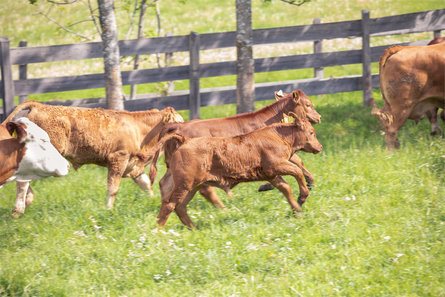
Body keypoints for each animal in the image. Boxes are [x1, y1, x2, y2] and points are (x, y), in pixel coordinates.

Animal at [4, 100, 181, 209]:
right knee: (23, 180)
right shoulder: (118, 159)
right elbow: (113, 188)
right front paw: (109, 209)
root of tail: (39, 105)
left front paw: (156, 201)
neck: (138, 130)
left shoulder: (134, 165)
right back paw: (20, 207)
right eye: (179, 122)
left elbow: (146, 185)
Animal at [149, 90, 320, 208]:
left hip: (173, 165)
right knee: (204, 189)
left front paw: (310, 181)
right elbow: (295, 163)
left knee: (165, 183)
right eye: (308, 104)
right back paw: (222, 207)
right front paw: (267, 186)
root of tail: (178, 126)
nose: (319, 117)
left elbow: (298, 162)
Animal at [154, 117, 320, 228]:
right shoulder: (277, 166)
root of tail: (184, 140)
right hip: (184, 184)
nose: (320, 147)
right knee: (170, 204)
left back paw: (194, 228)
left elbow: (286, 188)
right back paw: (158, 230)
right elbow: (297, 172)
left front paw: (297, 210)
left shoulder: (272, 175)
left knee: (180, 206)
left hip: (192, 186)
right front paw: (302, 196)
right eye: (311, 132)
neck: (278, 136)